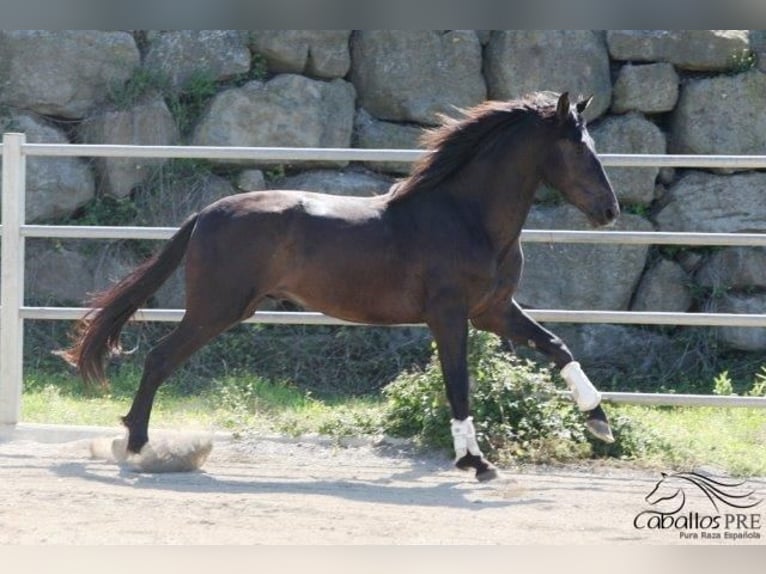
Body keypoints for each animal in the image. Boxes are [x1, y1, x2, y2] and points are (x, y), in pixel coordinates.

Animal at [60, 93, 624, 482]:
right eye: (578, 149)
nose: (610, 210)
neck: (468, 218)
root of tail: (207, 213)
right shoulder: (449, 316)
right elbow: (458, 383)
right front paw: (475, 463)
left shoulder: (494, 311)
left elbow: (557, 346)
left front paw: (599, 423)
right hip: (216, 309)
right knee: (159, 359)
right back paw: (136, 446)